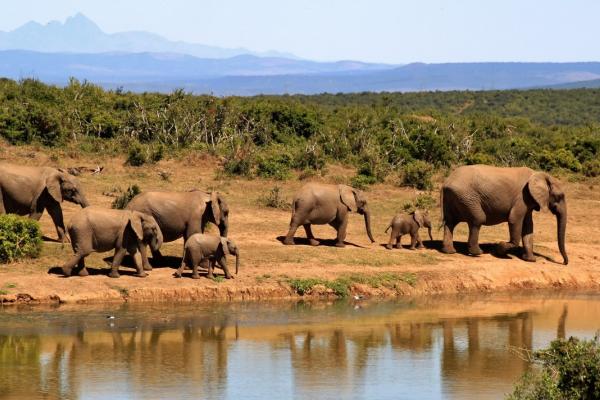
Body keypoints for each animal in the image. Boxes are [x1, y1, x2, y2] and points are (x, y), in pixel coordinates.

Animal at [440, 164, 568, 264]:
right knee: (477, 219)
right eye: (560, 196)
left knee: (450, 222)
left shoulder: (528, 200)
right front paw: (500, 250)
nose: (564, 262)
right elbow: (514, 220)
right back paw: (477, 253)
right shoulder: (522, 197)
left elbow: (528, 227)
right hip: (467, 197)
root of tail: (446, 182)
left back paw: (450, 251)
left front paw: (530, 260)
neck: (540, 175)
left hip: (455, 197)